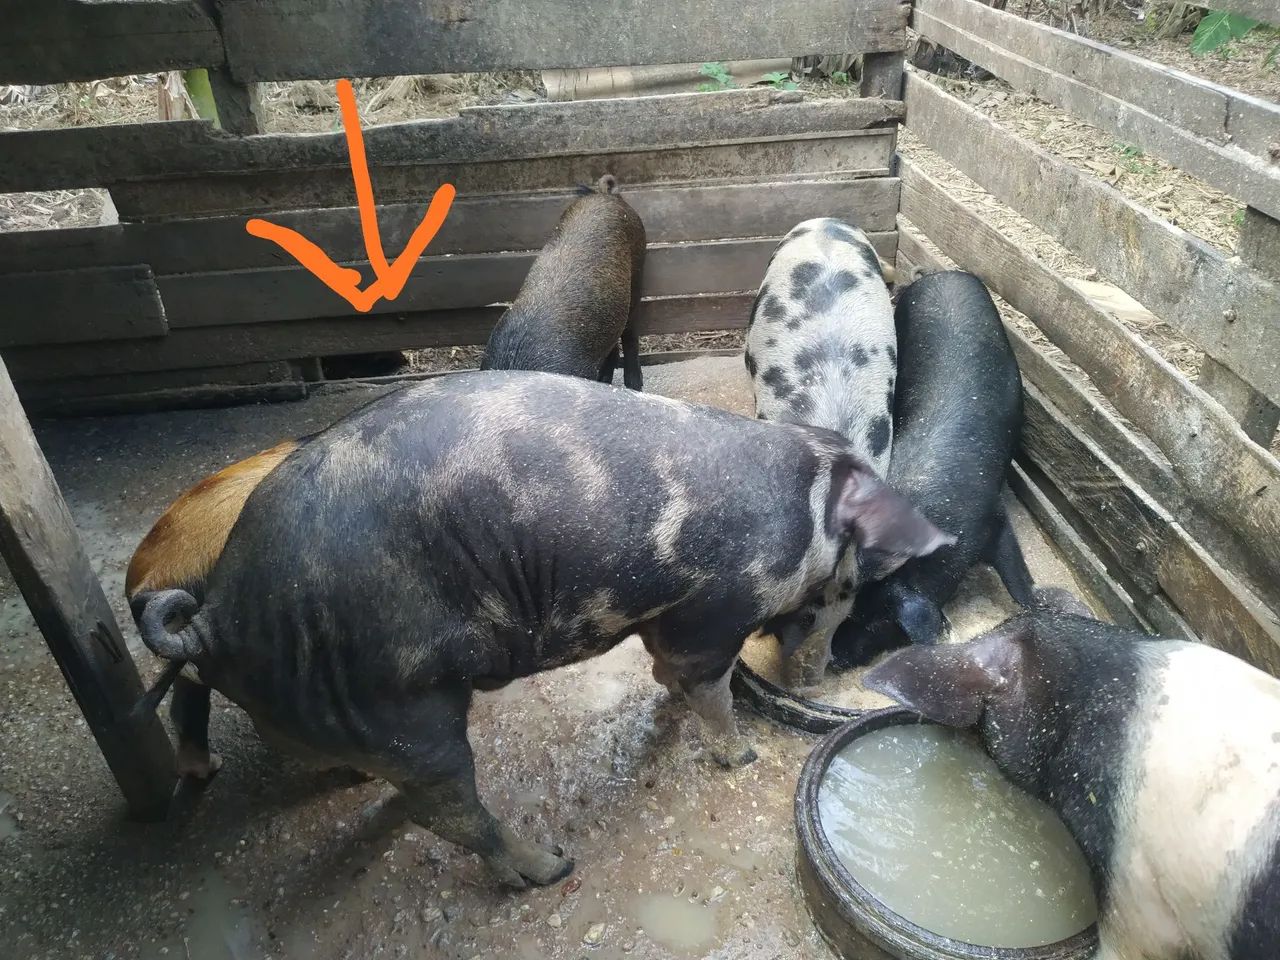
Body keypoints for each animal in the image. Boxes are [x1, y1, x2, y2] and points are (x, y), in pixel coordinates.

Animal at [134, 371, 950, 887]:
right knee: (449, 808)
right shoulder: (710, 610)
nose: (823, 671)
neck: (801, 515)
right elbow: (707, 689)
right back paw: (550, 868)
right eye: (854, 583)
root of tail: (215, 616)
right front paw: (742, 755)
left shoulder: (664, 618)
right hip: (402, 703)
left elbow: (669, 676)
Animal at [831, 270, 1034, 669]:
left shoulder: (992, 516)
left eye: (877, 620)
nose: (834, 656)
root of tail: (943, 273)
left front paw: (1035, 604)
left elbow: (1013, 569)